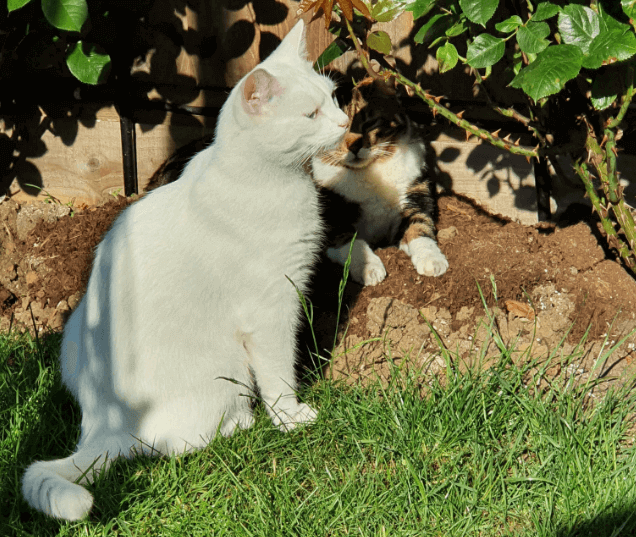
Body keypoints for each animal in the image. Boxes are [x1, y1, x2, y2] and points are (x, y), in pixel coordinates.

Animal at [21, 21, 348, 520]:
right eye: (311, 114)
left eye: (332, 98)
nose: (346, 122)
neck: (277, 182)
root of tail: (102, 423)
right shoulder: (271, 311)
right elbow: (279, 374)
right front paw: (291, 418)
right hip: (226, 371)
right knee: (174, 445)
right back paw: (242, 423)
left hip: (73, 333)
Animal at [314, 78, 448, 286]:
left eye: (369, 122)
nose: (354, 146)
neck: (370, 171)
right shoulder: (332, 221)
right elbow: (352, 243)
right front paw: (370, 268)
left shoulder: (414, 195)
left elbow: (420, 226)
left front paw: (432, 260)